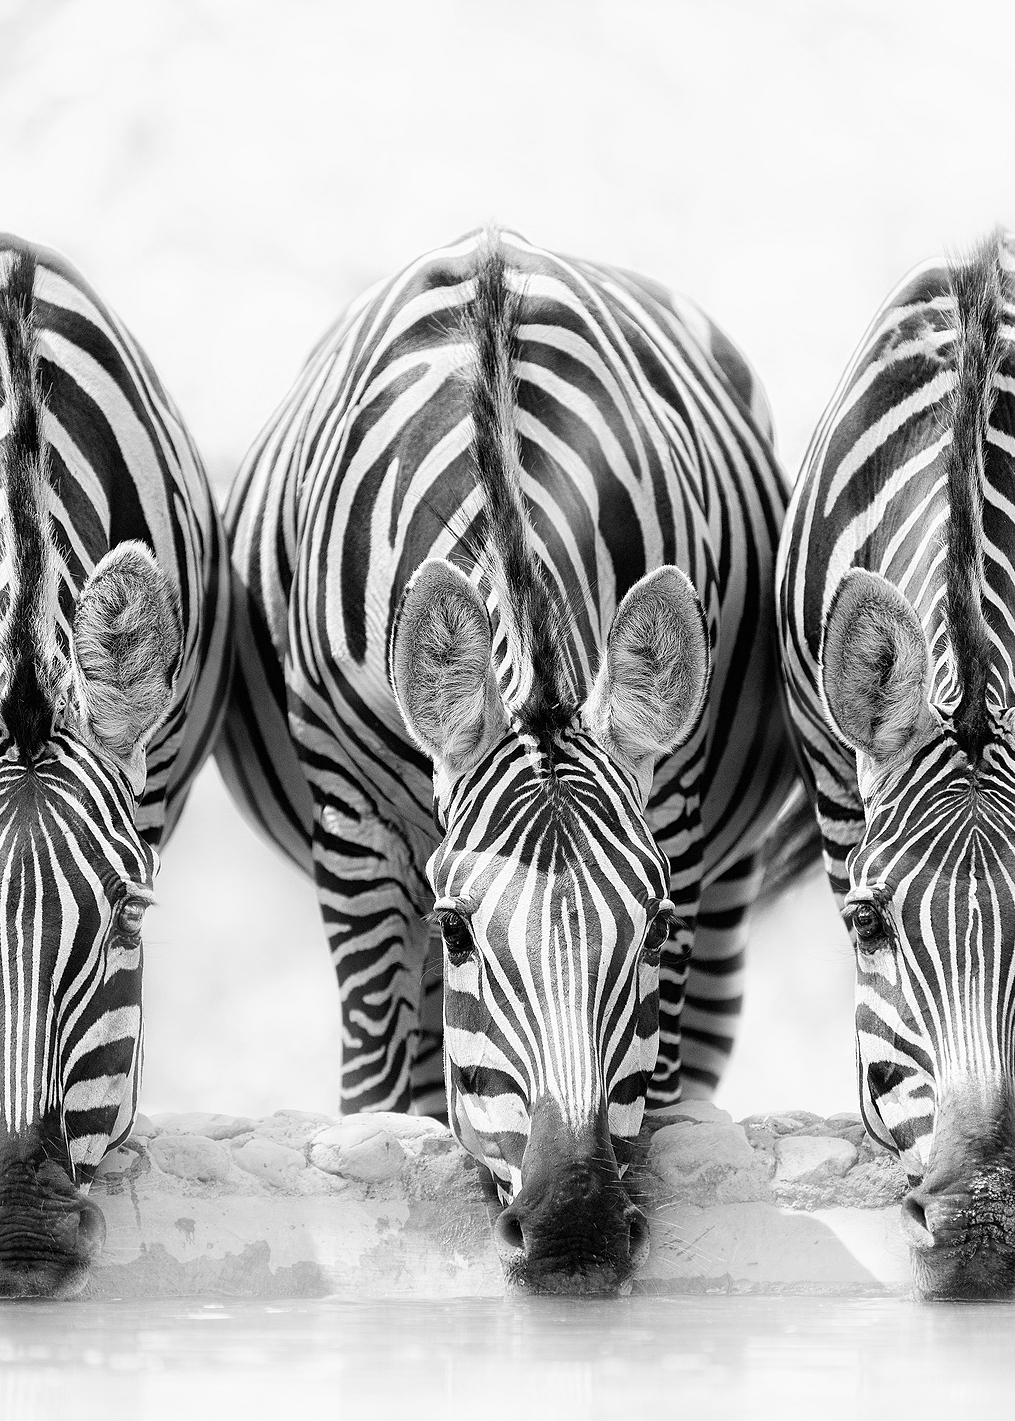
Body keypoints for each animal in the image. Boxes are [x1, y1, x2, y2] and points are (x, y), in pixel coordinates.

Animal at [216, 227, 802, 1293]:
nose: (573, 1231)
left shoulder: (678, 813)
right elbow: (376, 1083)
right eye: (457, 930)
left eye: (653, 930)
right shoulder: (352, 819)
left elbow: (657, 1081)